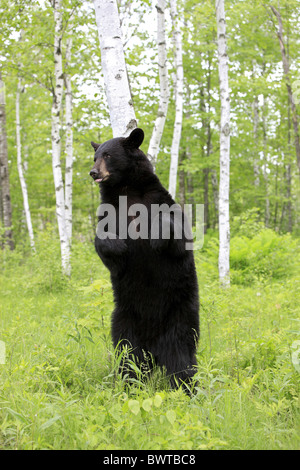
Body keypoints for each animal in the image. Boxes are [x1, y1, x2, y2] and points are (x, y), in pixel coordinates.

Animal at [90, 126, 200, 392]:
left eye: (108, 155)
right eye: (95, 156)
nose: (93, 172)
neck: (127, 192)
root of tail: (155, 351)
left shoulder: (160, 202)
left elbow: (177, 234)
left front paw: (157, 236)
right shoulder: (109, 212)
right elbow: (103, 243)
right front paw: (118, 245)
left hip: (181, 317)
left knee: (181, 358)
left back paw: (187, 389)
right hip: (123, 320)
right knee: (128, 356)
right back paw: (130, 385)